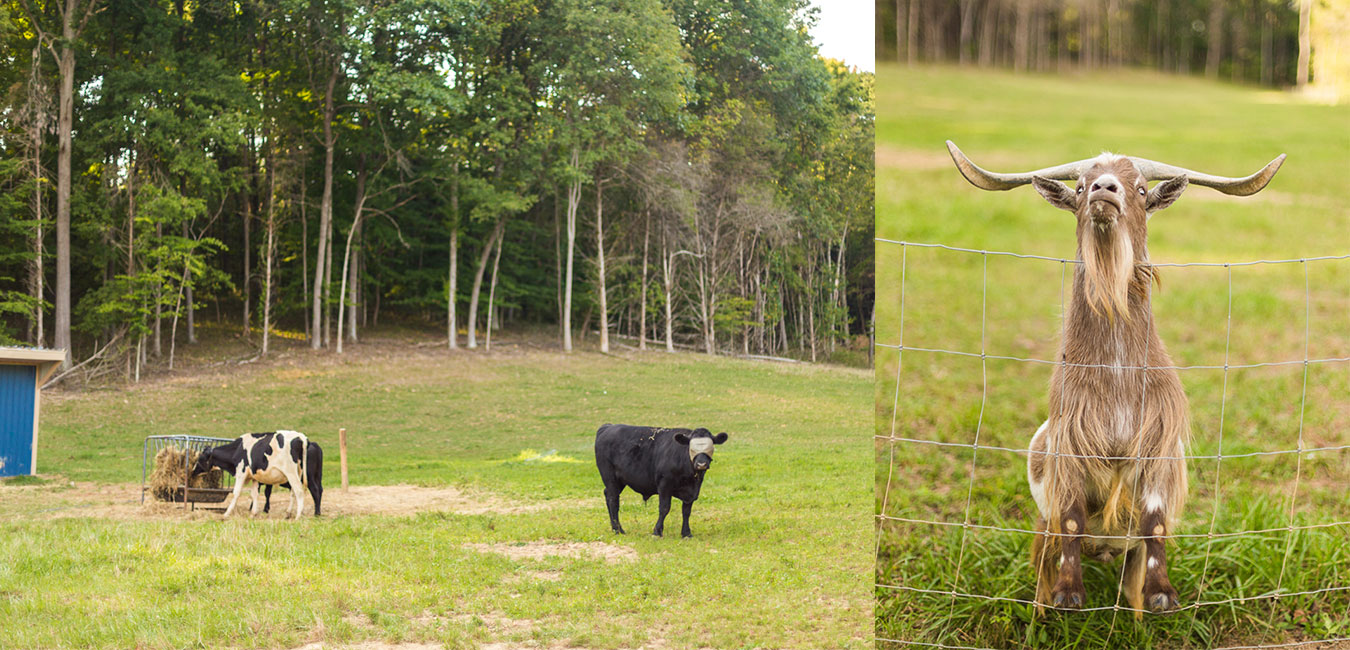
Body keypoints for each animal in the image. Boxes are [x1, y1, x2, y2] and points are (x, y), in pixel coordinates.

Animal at [596, 421, 734, 537]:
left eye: (710, 447)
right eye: (691, 448)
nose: (701, 464)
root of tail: (608, 427)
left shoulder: (692, 491)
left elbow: (686, 511)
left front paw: (686, 533)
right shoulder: (664, 485)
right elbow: (664, 508)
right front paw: (657, 531)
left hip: (619, 481)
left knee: (608, 495)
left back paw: (615, 528)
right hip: (610, 477)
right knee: (613, 500)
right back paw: (618, 530)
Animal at [945, 141, 1279, 618]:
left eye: (1140, 188)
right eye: (1081, 186)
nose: (1105, 189)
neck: (1117, 376)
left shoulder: (1157, 444)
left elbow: (1155, 522)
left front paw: (1161, 594)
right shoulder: (1072, 443)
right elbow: (1070, 518)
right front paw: (1069, 594)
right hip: (1042, 528)